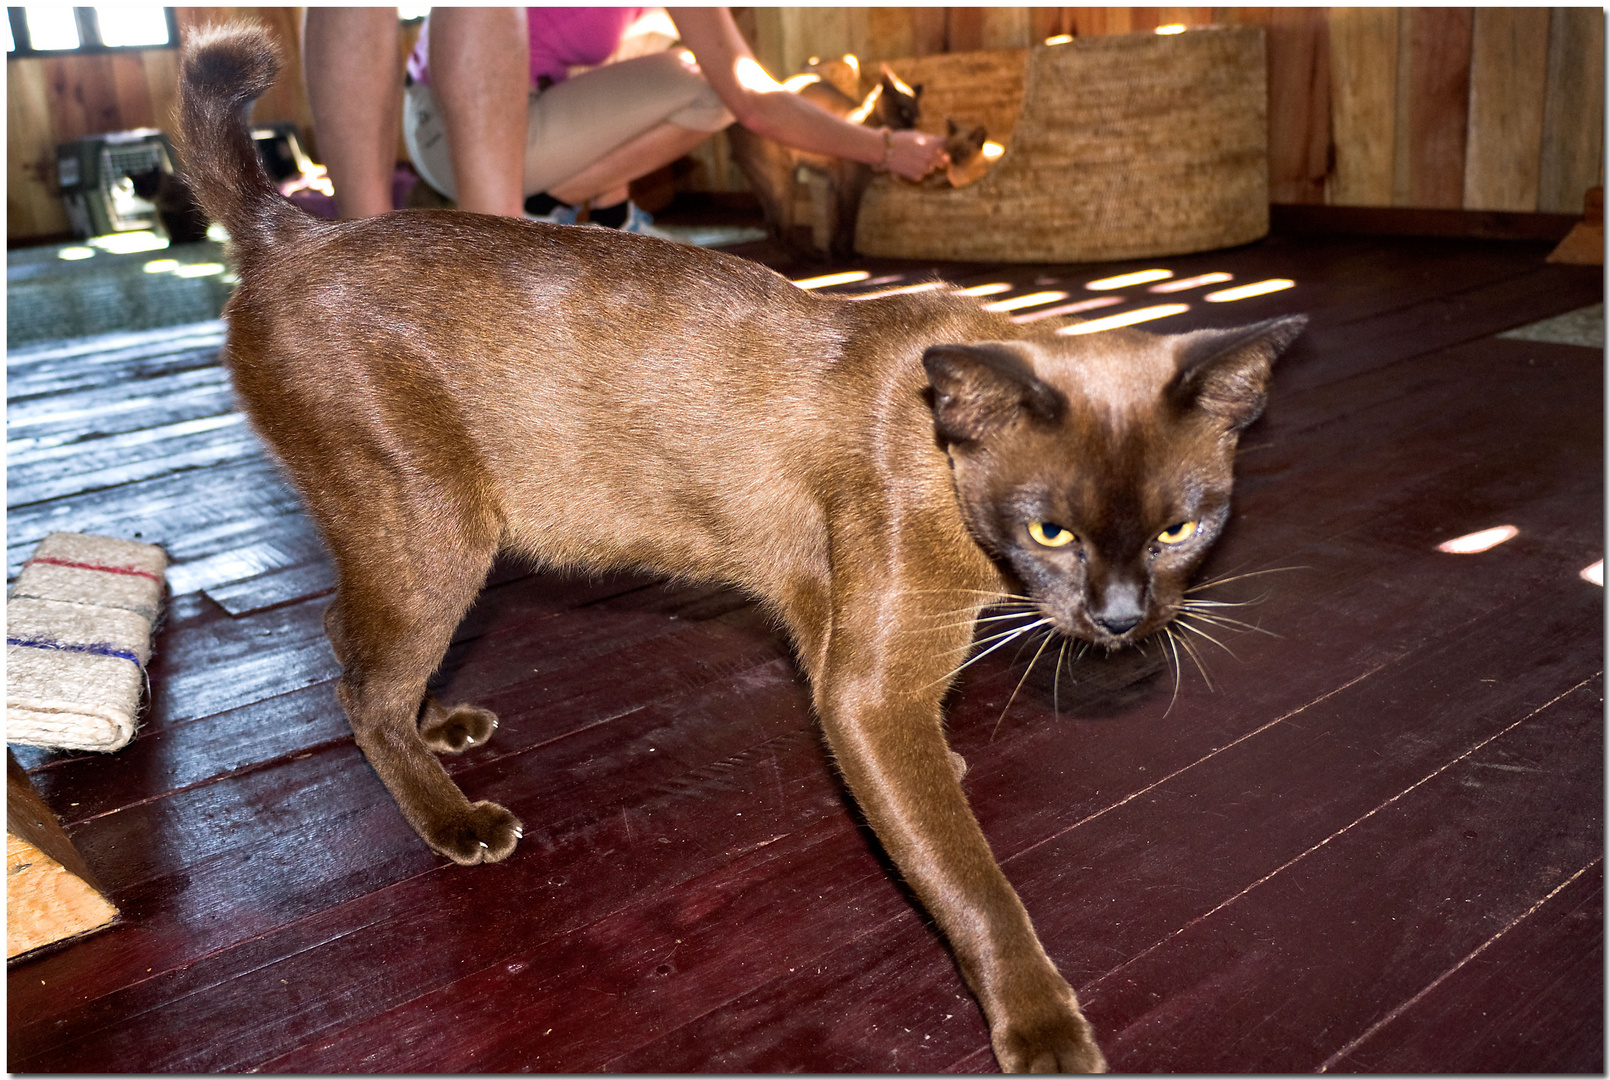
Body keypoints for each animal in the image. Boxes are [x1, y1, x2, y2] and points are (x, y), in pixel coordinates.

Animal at [727, 59, 920, 259]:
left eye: (916, 116)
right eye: (904, 111)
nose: (911, 127)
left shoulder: (834, 186)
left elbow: (834, 223)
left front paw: (835, 252)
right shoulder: (851, 188)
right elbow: (848, 225)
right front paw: (848, 255)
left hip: (768, 185)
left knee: (773, 231)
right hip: (783, 182)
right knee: (782, 231)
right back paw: (808, 257)